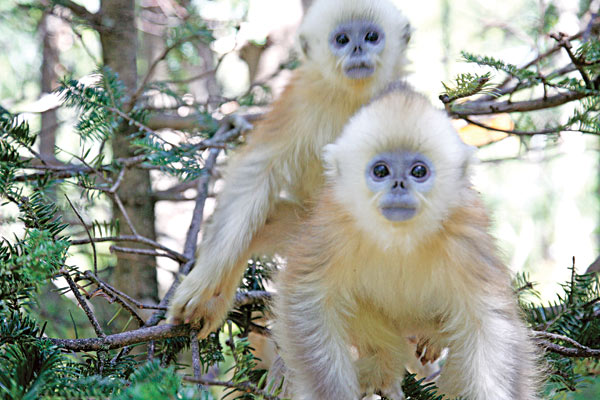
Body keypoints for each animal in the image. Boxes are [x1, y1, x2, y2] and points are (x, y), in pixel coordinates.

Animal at [169, 0, 412, 338]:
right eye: (342, 40)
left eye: (372, 36)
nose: (358, 49)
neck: (352, 95)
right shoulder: (297, 101)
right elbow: (256, 172)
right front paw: (200, 284)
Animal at [274, 85, 540, 400]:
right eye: (380, 171)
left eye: (418, 172)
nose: (399, 186)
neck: (400, 239)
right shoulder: (332, 226)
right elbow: (307, 301)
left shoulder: (466, 237)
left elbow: (491, 325)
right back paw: (381, 367)